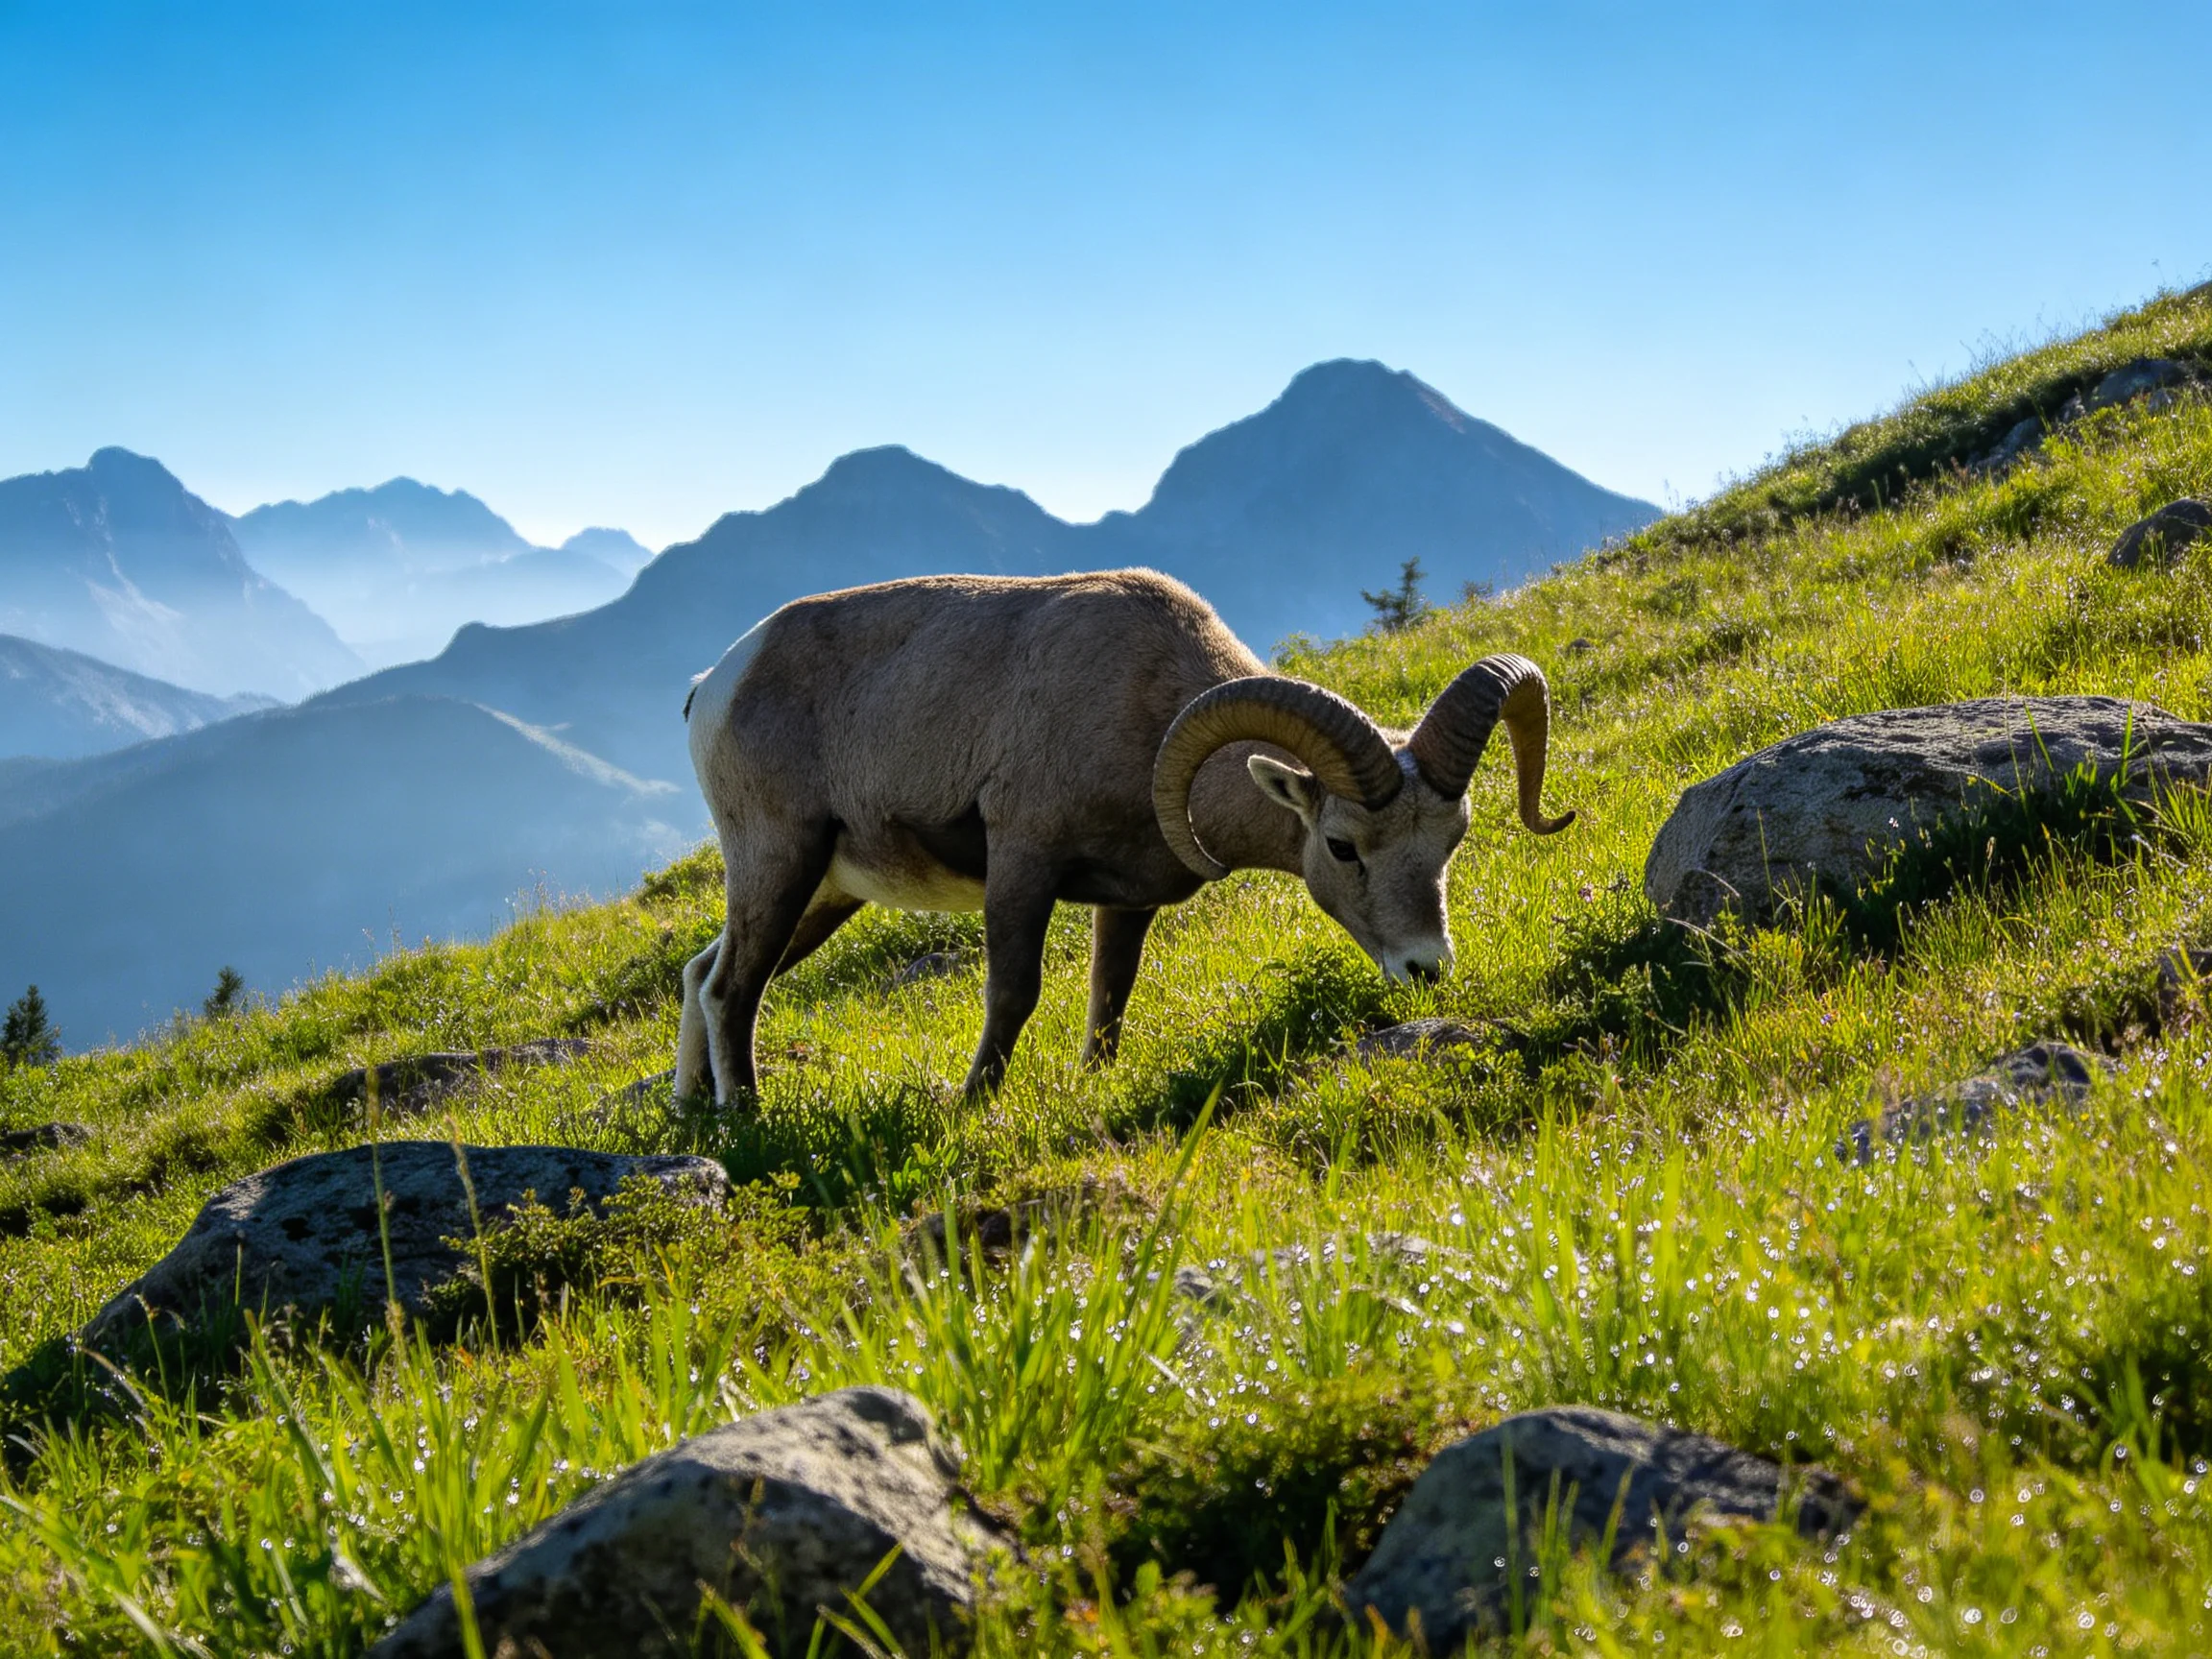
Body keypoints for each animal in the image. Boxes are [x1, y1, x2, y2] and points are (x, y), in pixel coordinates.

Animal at [673, 568, 1573, 1104]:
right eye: (1343, 845)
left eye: (1451, 839)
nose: (1426, 967)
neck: (1142, 705)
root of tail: (715, 681)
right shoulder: (1023, 865)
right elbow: (1014, 994)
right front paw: (974, 1103)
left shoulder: (1128, 905)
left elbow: (1111, 998)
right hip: (779, 862)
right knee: (732, 990)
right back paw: (744, 1117)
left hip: (822, 893)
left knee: (701, 974)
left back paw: (692, 1112)